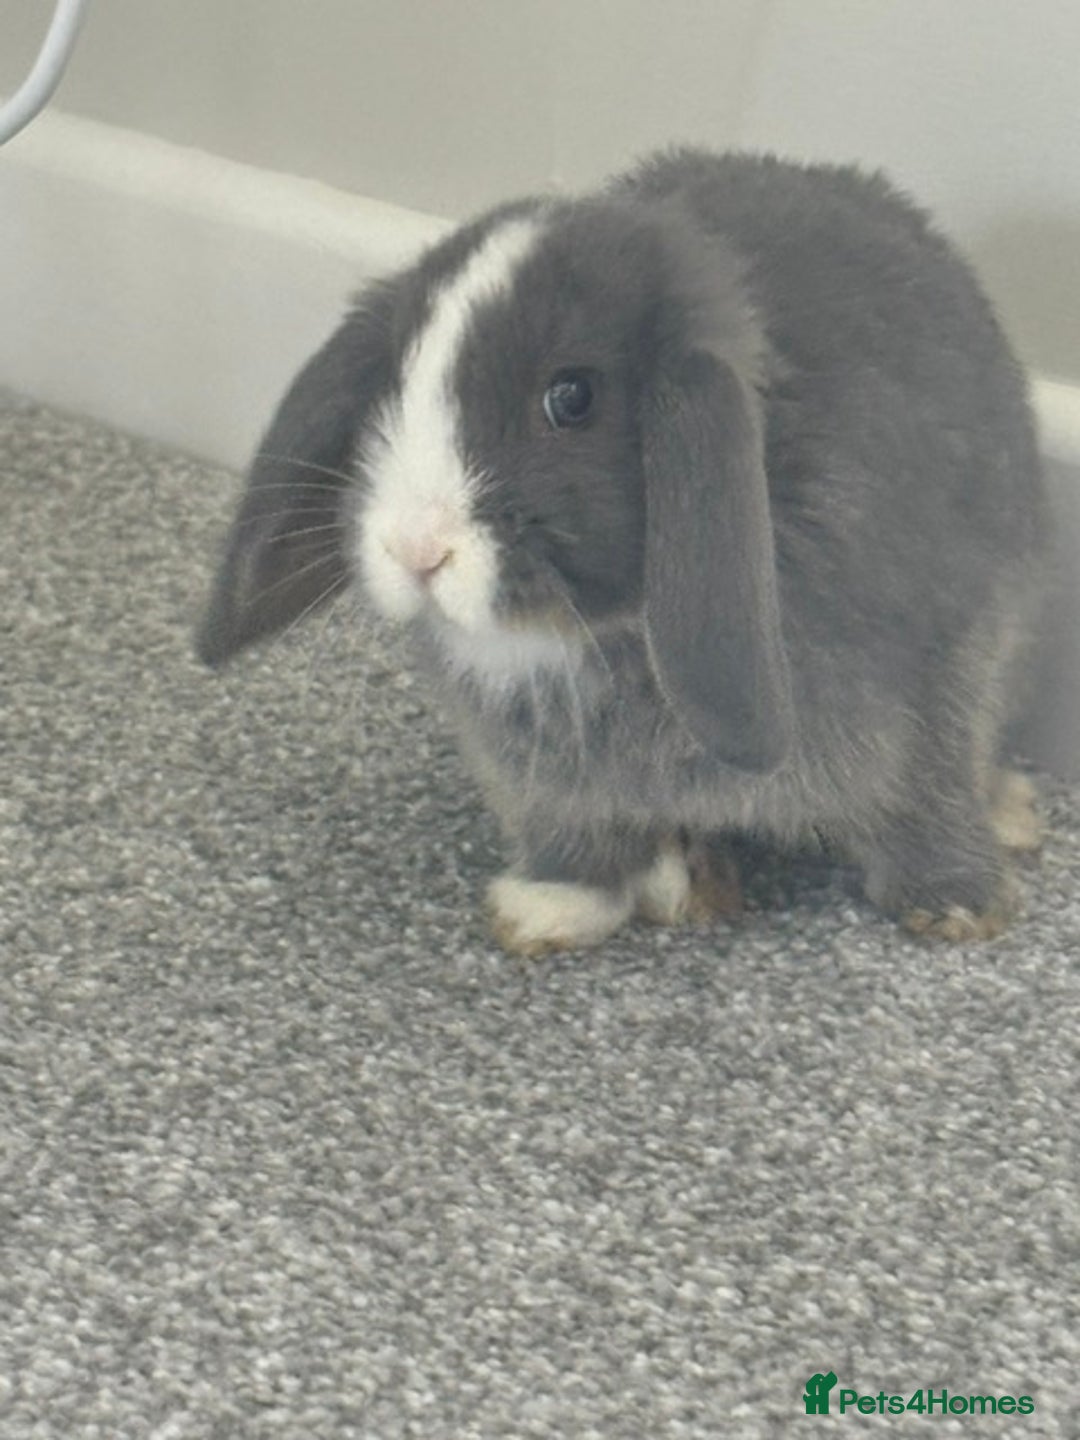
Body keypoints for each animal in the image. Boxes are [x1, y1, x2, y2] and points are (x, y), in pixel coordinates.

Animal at [197, 147, 1049, 954]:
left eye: (571, 398)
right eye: (393, 388)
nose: (416, 547)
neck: (592, 632)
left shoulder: (938, 673)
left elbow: (925, 793)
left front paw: (957, 905)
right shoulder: (544, 780)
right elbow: (578, 836)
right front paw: (547, 908)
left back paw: (1010, 815)